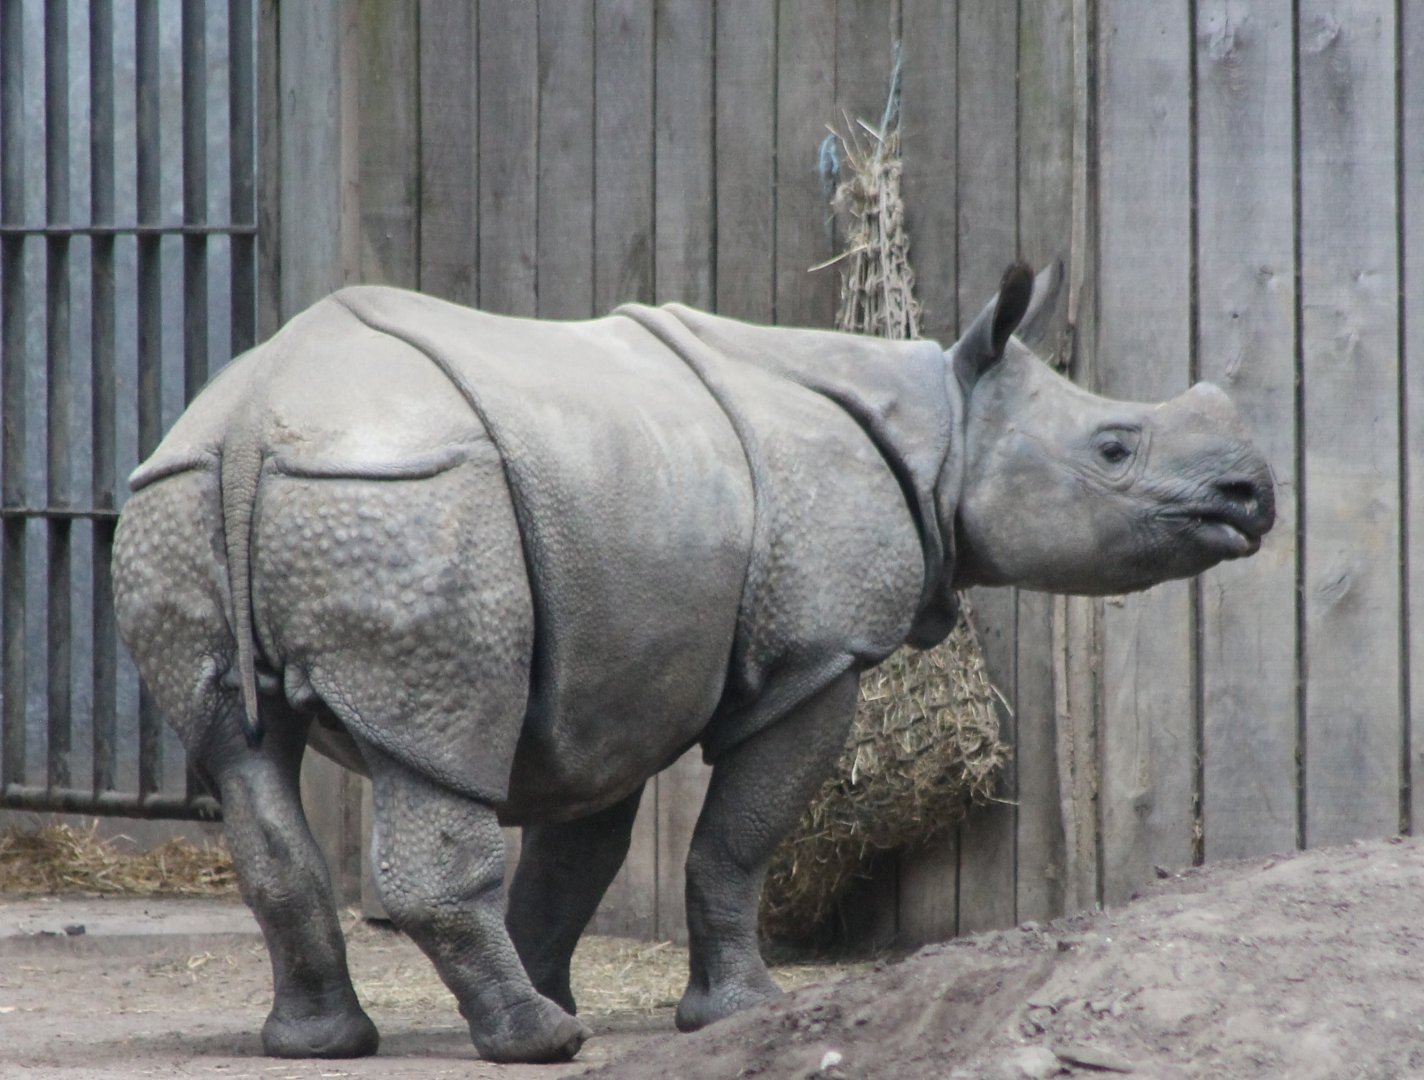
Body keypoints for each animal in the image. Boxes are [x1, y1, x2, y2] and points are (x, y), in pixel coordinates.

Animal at [111, 262, 1274, 1063]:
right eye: (1114, 448)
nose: (1252, 496)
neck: (944, 421)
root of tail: (254, 423)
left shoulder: (603, 669)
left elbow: (582, 848)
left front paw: (563, 986)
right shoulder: (817, 655)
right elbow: (735, 843)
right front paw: (740, 1014)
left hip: (185, 492)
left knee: (242, 758)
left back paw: (332, 1043)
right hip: (408, 497)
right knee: (433, 743)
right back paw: (534, 1046)